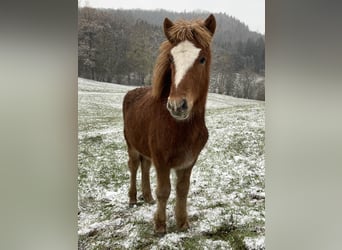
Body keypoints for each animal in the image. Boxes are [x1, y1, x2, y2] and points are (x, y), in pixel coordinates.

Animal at [121, 14, 215, 234]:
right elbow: (164, 191)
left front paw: (182, 223)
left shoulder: (189, 161)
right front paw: (160, 226)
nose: (177, 106)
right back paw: (133, 199)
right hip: (131, 145)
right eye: (171, 59)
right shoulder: (162, 160)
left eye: (202, 59)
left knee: (145, 167)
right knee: (134, 166)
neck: (179, 127)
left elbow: (182, 190)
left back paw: (147, 197)